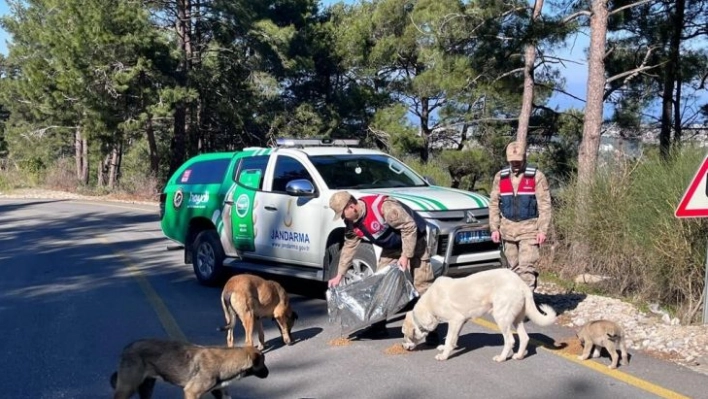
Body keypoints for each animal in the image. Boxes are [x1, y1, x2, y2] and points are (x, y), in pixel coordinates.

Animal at [109, 340, 266, 399]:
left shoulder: (219, 391)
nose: (267, 373)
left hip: (146, 387)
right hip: (127, 388)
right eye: (263, 363)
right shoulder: (191, 392)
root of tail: (127, 347)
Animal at [402, 268, 556, 362]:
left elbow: (449, 339)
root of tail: (520, 283)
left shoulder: (455, 320)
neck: (429, 304)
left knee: (510, 340)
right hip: (516, 319)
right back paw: (518, 356)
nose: (403, 347)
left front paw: (444, 355)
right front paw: (448, 347)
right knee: (524, 338)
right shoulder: (461, 321)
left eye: (404, 334)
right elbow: (453, 338)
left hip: (501, 317)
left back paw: (501, 358)